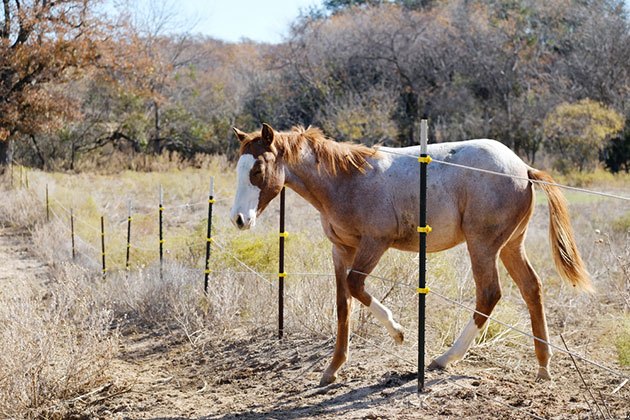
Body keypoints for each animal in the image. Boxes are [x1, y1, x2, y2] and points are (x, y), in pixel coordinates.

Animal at [228, 122, 592, 388]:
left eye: (257, 171)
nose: (238, 220)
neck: (347, 180)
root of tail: (524, 169)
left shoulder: (374, 244)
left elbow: (356, 286)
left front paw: (398, 332)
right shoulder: (341, 250)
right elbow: (343, 305)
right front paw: (332, 370)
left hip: (483, 245)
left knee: (489, 294)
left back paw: (445, 359)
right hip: (511, 246)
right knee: (532, 288)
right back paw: (543, 367)